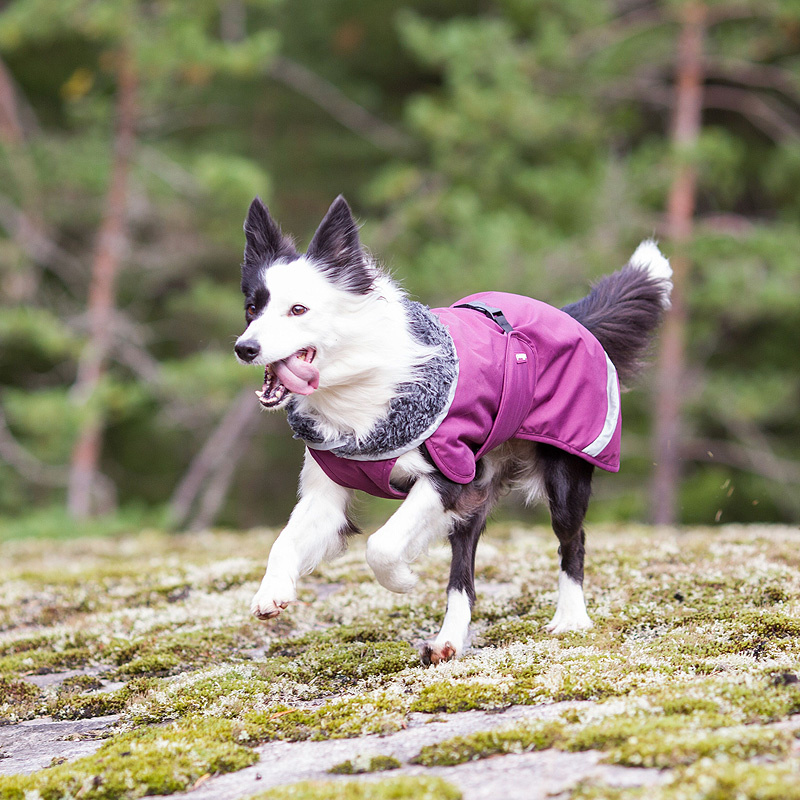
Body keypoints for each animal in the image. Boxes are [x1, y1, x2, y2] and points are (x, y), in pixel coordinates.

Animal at [234, 194, 672, 664]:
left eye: (298, 310)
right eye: (251, 309)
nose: (245, 348)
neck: (358, 387)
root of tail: (573, 317)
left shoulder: (450, 476)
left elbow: (381, 545)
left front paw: (402, 580)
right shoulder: (328, 491)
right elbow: (285, 540)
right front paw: (271, 592)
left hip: (563, 472)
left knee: (572, 540)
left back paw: (570, 618)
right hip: (482, 487)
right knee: (463, 573)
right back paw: (449, 640)